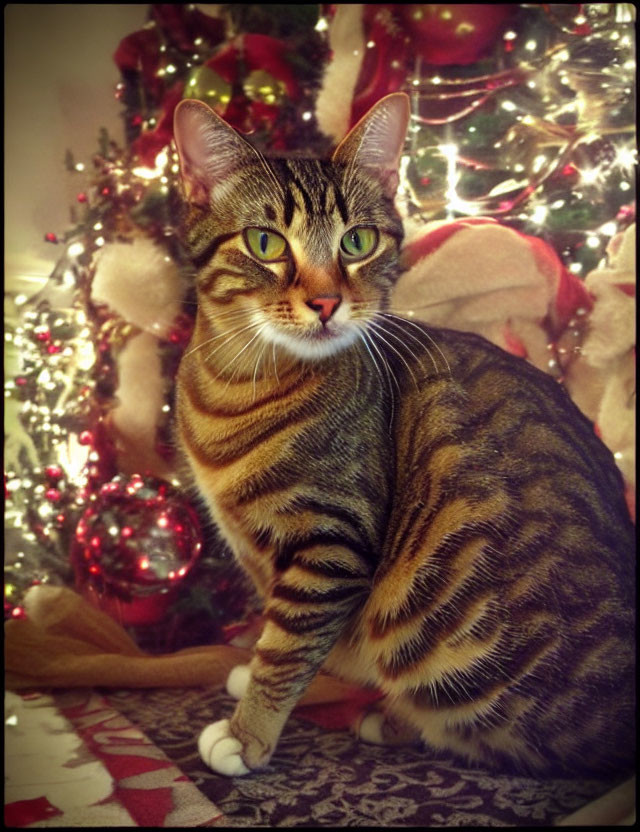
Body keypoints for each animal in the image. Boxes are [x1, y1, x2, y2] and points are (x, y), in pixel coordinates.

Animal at [174, 94, 636, 776]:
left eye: (357, 241)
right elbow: (297, 639)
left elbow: (290, 646)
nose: (326, 302)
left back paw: (389, 718)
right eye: (265, 242)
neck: (237, 384)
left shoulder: (333, 545)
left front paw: (248, 730)